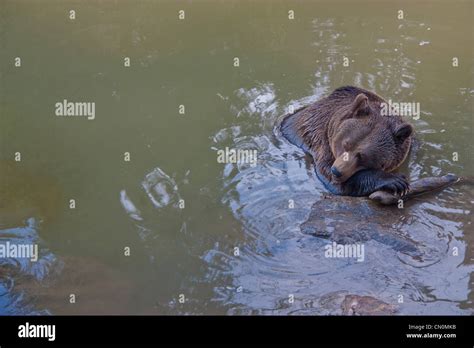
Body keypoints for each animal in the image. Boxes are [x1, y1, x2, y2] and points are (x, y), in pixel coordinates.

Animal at [280, 86, 412, 197]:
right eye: (345, 144)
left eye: (362, 157)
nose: (337, 171)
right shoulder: (321, 140)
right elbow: (332, 179)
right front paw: (396, 181)